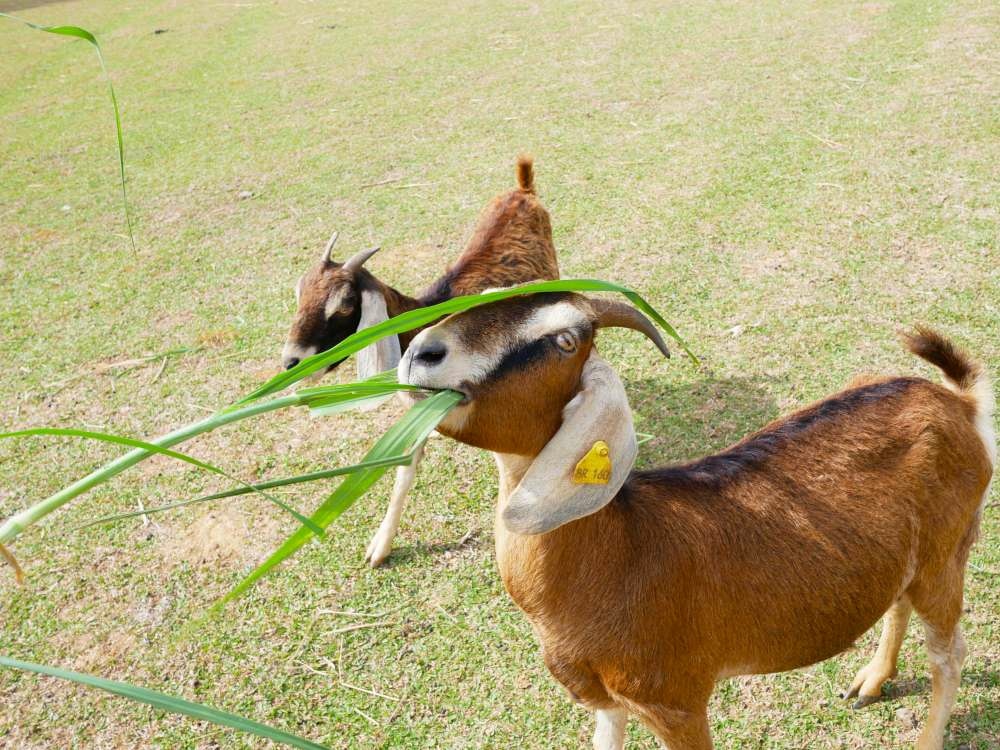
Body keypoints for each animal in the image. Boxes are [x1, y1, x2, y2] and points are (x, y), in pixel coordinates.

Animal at [284, 160, 564, 568]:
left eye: (345, 304)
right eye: (299, 293)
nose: (291, 360)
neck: (423, 318)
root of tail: (522, 187)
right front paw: (380, 546)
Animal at [396, 290, 992, 748]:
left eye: (567, 341)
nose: (423, 352)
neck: (620, 549)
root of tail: (958, 403)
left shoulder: (675, 699)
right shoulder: (604, 699)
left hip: (948, 553)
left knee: (949, 653)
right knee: (898, 600)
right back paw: (871, 680)